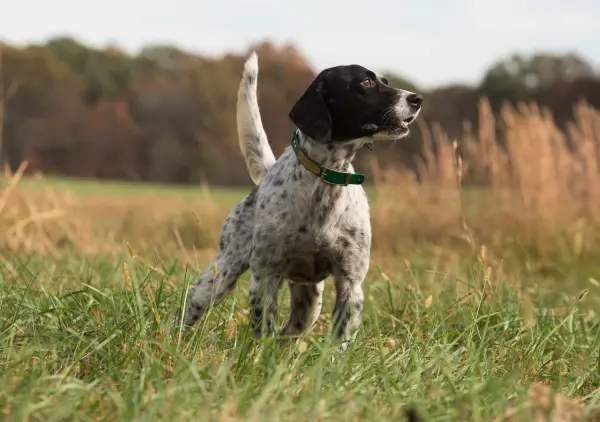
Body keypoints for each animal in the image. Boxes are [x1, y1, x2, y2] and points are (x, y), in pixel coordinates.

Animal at [178, 52, 422, 350]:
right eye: (365, 82)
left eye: (385, 81)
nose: (417, 98)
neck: (325, 181)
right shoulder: (265, 276)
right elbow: (263, 329)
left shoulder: (350, 283)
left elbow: (339, 340)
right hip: (219, 276)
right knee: (190, 312)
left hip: (310, 302)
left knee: (288, 332)